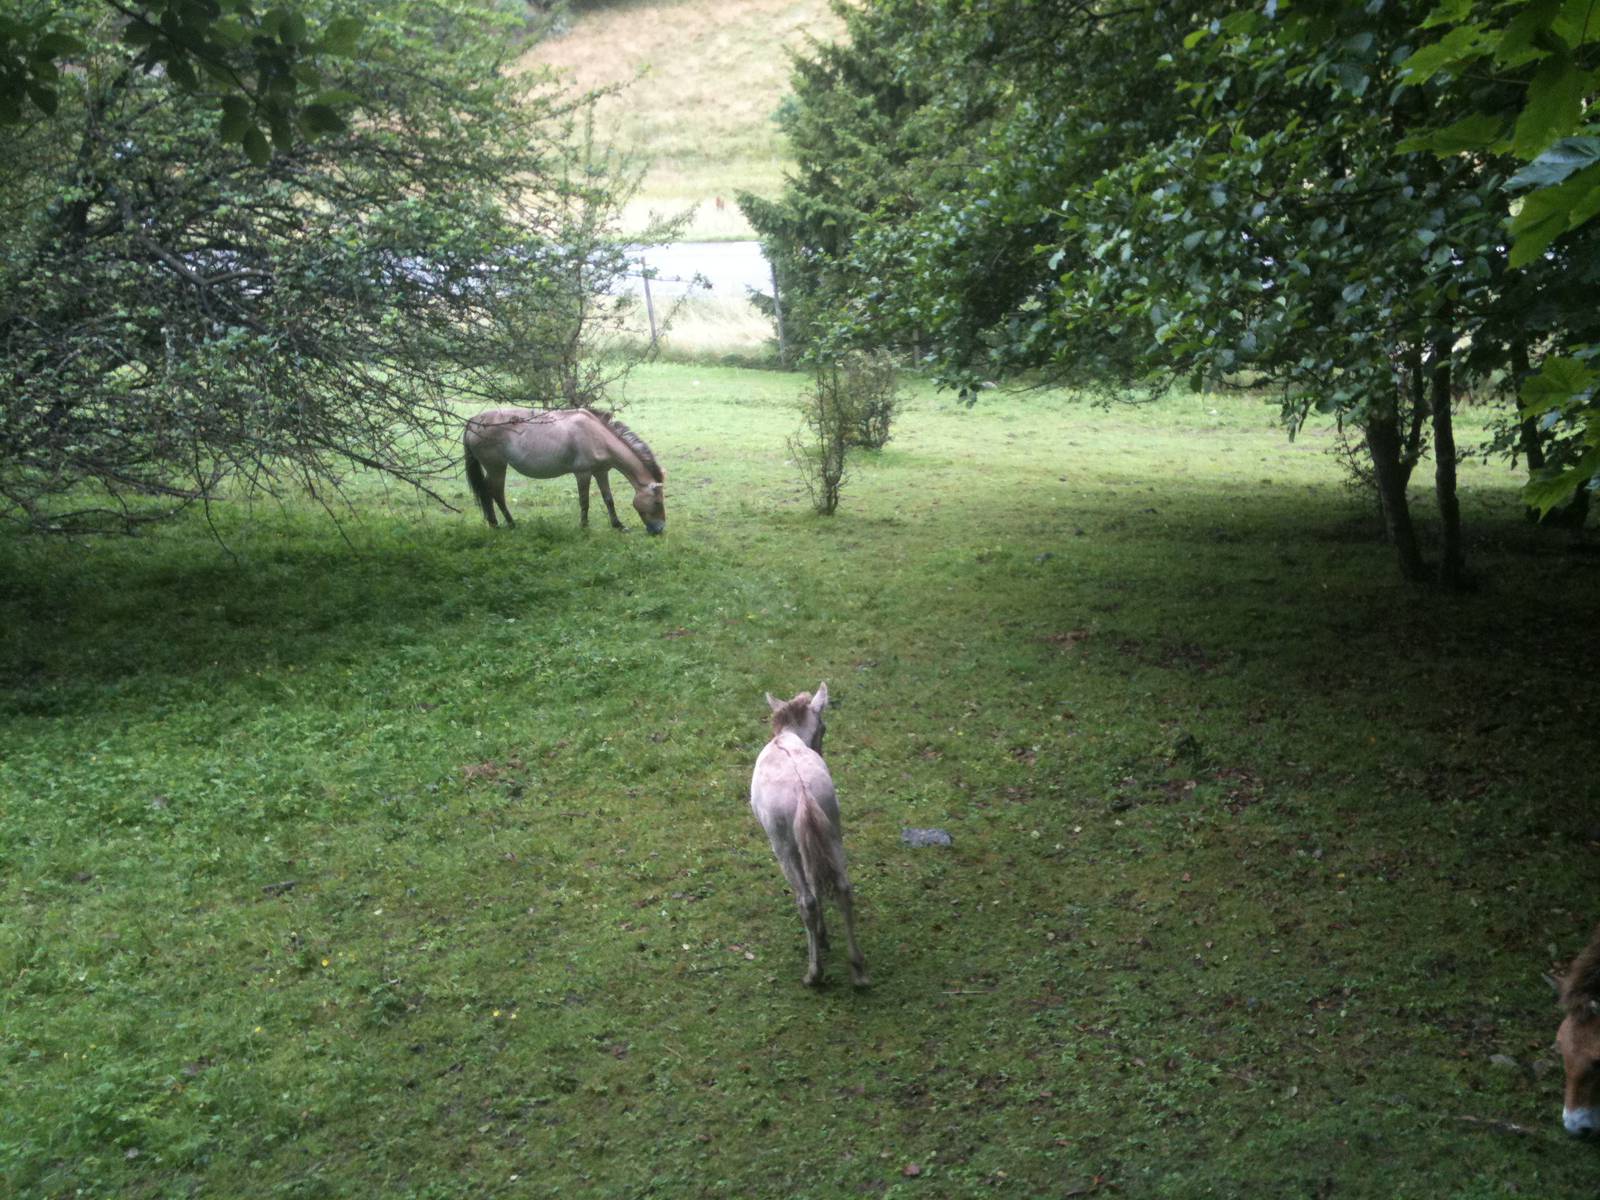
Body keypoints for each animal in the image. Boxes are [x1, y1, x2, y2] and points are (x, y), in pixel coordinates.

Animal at [462, 408, 666, 534]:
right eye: (657, 502)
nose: (659, 530)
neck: (598, 436)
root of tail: (473, 421)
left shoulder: (601, 472)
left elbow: (608, 500)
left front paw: (618, 525)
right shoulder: (583, 473)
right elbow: (584, 502)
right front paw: (584, 526)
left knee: (487, 493)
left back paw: (494, 523)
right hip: (496, 467)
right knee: (495, 493)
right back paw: (509, 524)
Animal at [749, 683, 868, 988]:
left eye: (824, 727)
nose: (820, 750)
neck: (786, 738)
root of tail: (803, 794)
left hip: (783, 846)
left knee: (807, 901)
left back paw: (814, 973)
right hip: (832, 832)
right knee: (842, 888)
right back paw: (858, 970)